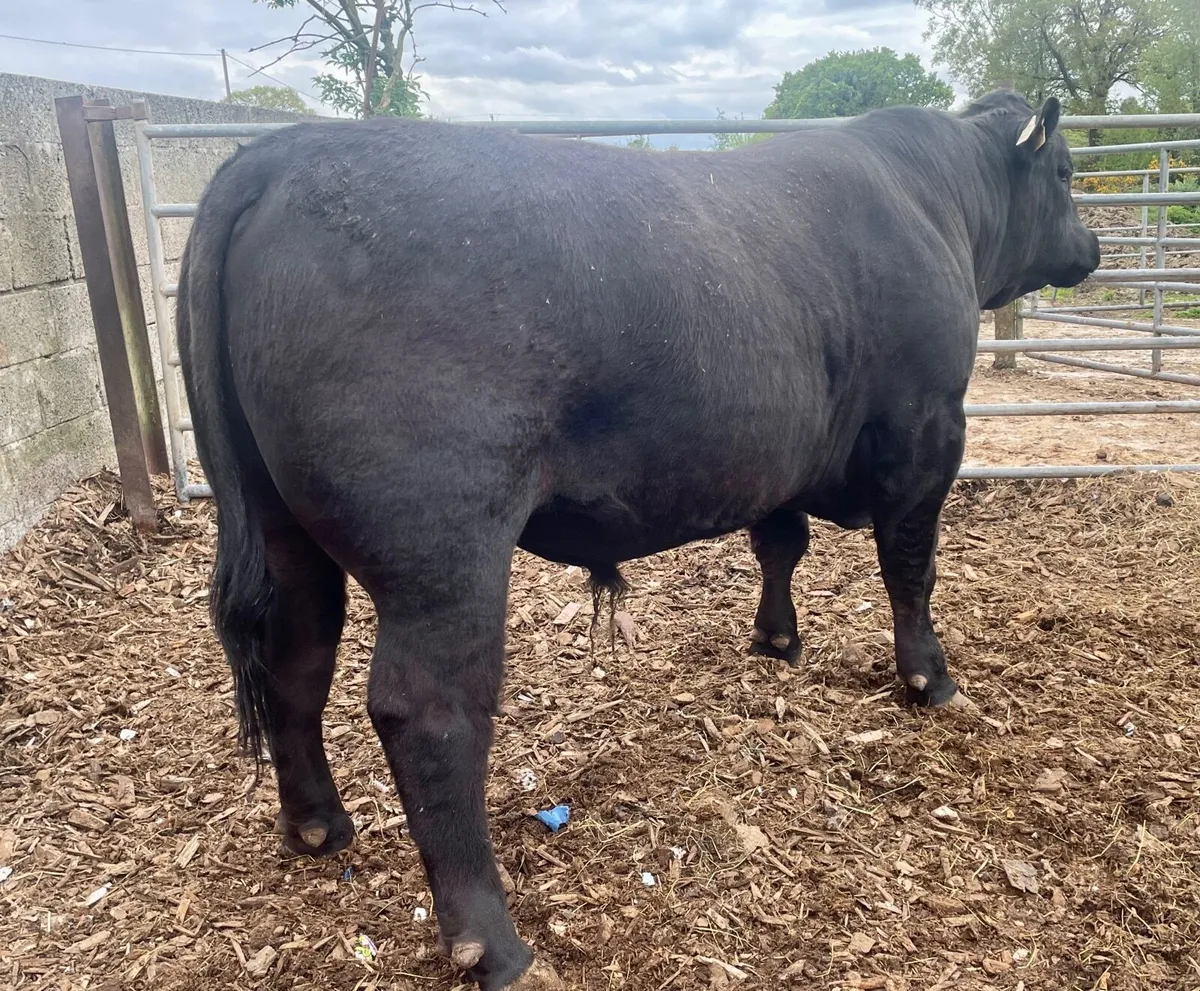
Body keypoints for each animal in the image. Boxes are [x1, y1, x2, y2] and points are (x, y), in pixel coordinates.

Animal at [177, 89, 1099, 989]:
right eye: (1063, 170)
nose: (1090, 247)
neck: (934, 198)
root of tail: (280, 151)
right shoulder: (928, 425)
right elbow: (911, 564)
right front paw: (929, 679)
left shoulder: (776, 450)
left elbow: (781, 541)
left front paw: (776, 639)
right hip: (441, 550)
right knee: (429, 713)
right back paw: (494, 945)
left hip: (281, 524)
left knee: (296, 656)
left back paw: (318, 825)